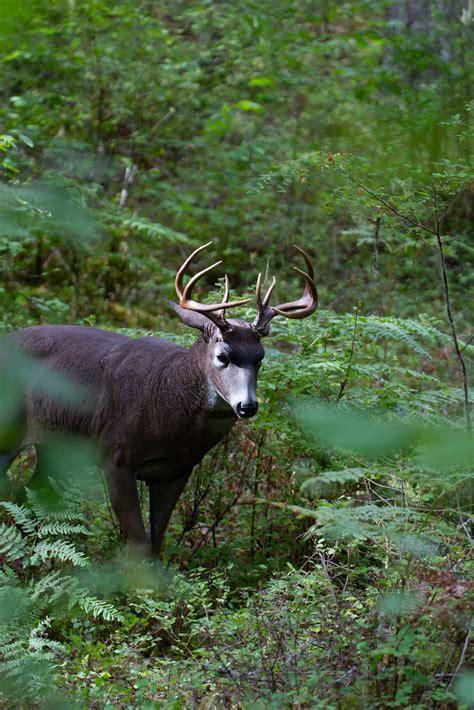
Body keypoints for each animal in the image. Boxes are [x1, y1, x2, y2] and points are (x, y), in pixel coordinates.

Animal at [1, 245, 318, 556]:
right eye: (222, 356)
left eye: (260, 357)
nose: (247, 406)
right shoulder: (115, 458)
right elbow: (140, 545)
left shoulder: (177, 471)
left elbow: (156, 544)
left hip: (55, 447)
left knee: (26, 493)